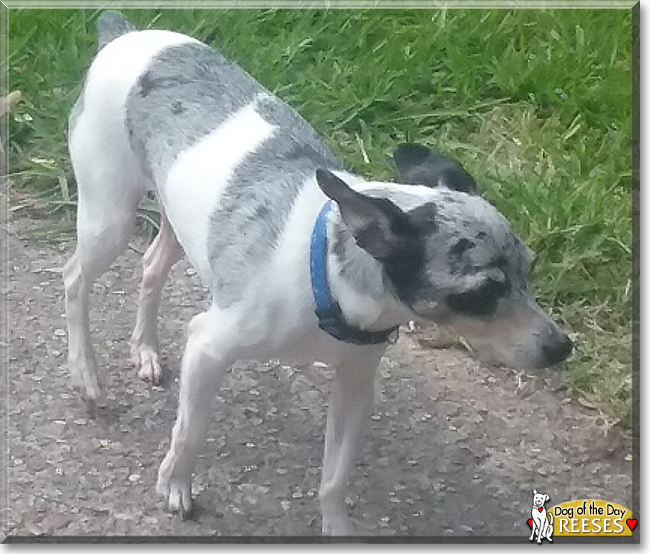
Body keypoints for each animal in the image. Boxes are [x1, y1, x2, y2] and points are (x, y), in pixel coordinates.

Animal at [63, 10, 568, 532]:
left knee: (151, 266)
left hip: (180, 226)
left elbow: (335, 478)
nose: (561, 347)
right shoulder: (208, 349)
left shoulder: (356, 386)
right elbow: (191, 431)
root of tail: (125, 36)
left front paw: (336, 526)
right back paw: (86, 374)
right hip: (110, 218)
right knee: (75, 279)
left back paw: (144, 349)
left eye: (530, 270)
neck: (323, 272)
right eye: (481, 293)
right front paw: (176, 484)